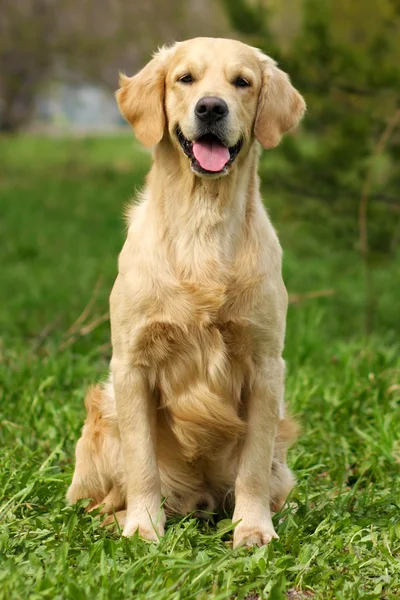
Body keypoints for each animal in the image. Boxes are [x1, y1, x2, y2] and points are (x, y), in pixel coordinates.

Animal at [67, 37, 306, 548]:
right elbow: (141, 462)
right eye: (185, 78)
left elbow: (252, 468)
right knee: (99, 499)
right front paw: (143, 527)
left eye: (242, 82)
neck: (203, 218)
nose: (211, 107)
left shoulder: (265, 365)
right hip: (102, 419)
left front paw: (253, 529)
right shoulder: (131, 363)